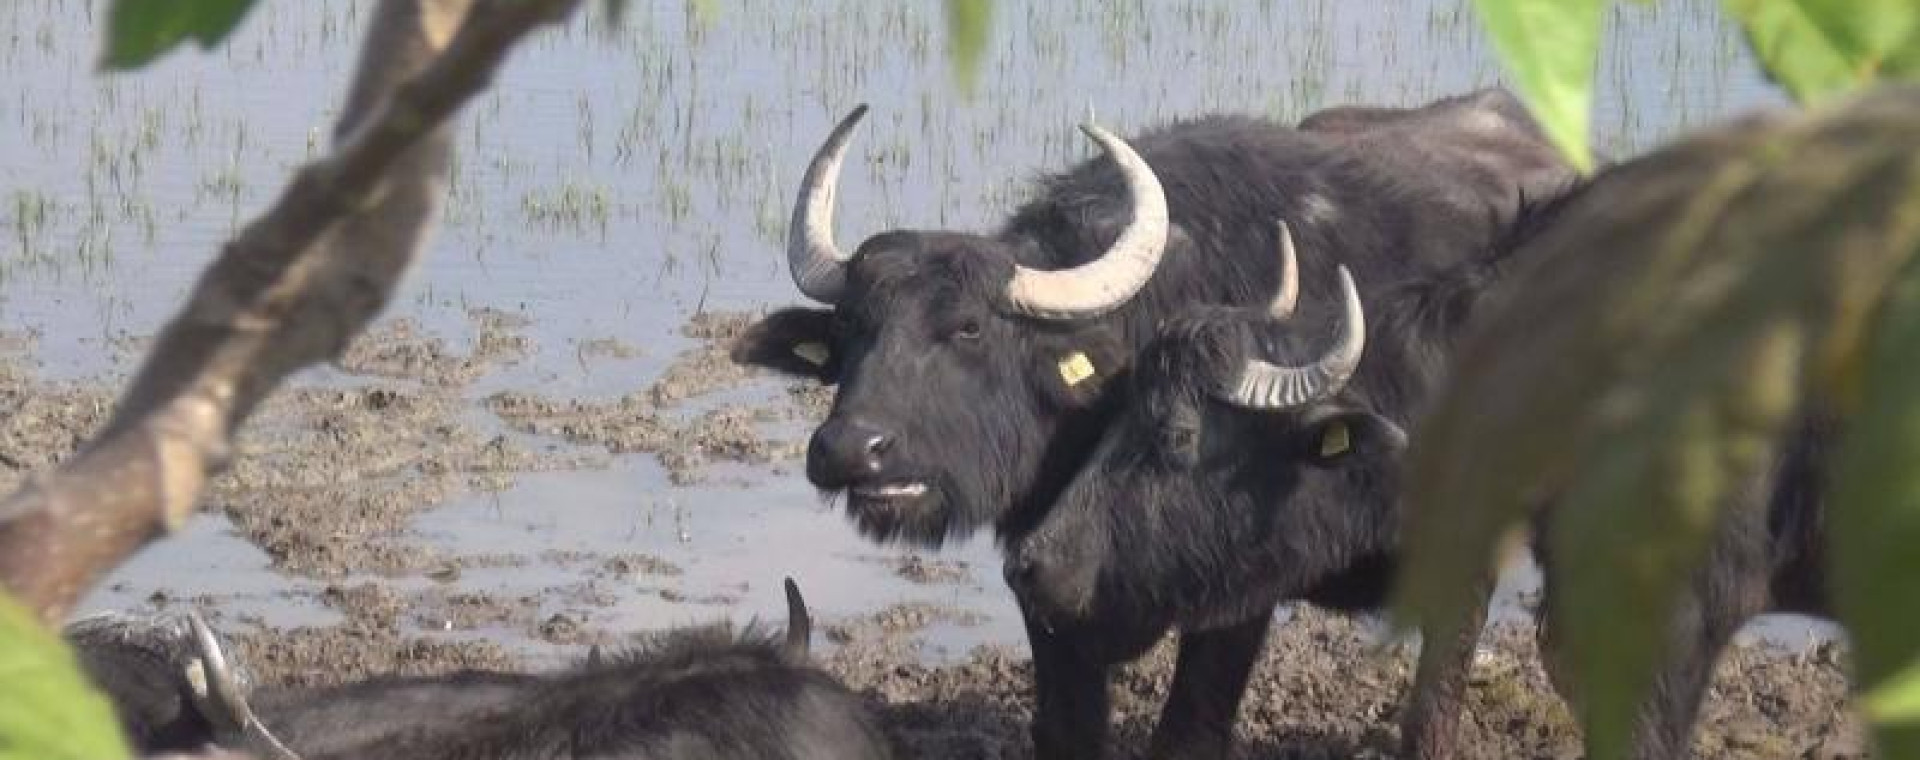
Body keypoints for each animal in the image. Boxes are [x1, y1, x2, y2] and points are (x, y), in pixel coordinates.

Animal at [732, 88, 1579, 756]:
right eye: (852, 330)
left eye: (968, 328)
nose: (851, 449)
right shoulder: (1047, 585)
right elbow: (1067, 728)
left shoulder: (1246, 591)